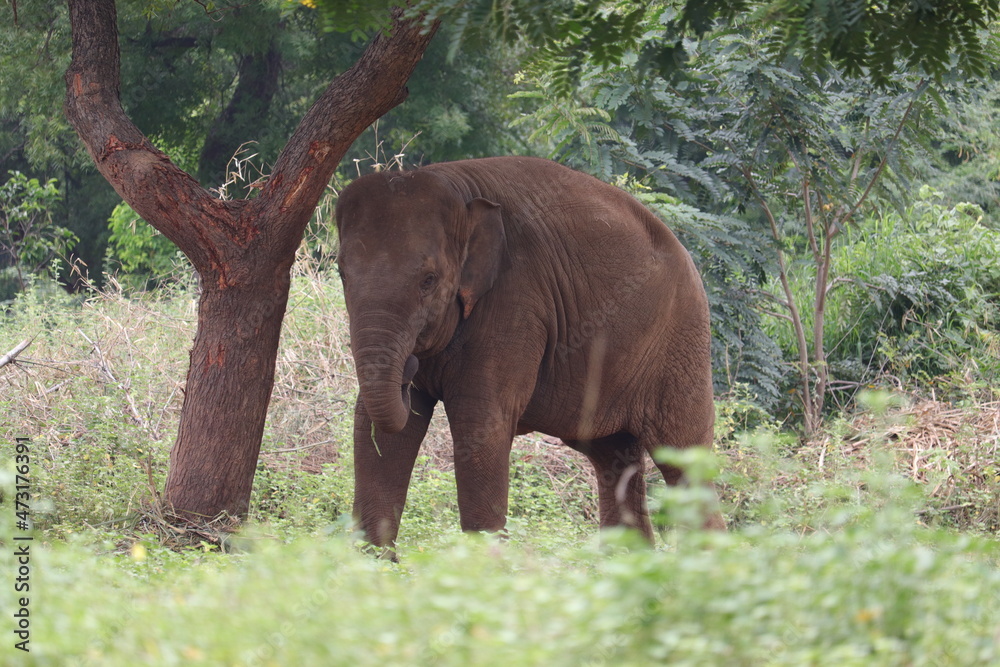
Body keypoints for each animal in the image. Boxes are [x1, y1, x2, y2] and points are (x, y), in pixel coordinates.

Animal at [338, 157, 728, 552]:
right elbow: (378, 429)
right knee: (612, 456)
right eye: (341, 273)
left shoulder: (517, 301)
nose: (410, 367)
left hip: (682, 342)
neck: (459, 191)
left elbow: (481, 422)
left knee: (683, 459)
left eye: (428, 280)